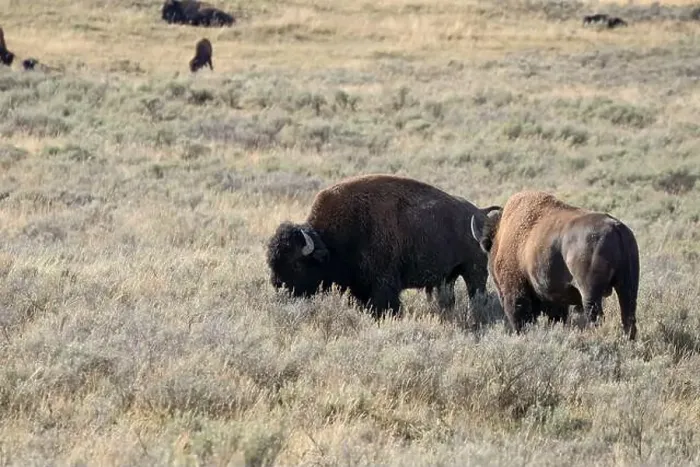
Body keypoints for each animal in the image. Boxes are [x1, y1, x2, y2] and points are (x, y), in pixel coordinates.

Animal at [266, 174, 495, 318]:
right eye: (271, 262)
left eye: (296, 264)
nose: (278, 286)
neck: (330, 241)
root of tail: (480, 213)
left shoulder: (383, 285)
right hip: (449, 277)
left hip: (474, 271)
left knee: (477, 295)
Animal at [470, 191, 639, 340]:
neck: (501, 238)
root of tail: (616, 227)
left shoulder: (516, 293)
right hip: (627, 288)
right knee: (628, 316)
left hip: (590, 293)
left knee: (595, 316)